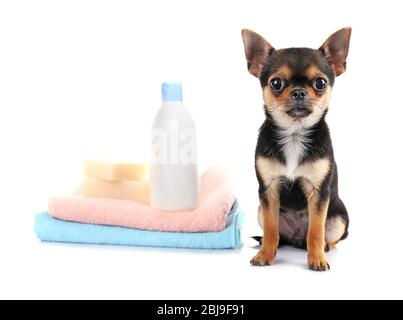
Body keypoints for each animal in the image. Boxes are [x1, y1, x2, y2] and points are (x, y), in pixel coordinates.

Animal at [241, 28, 352, 272]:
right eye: (276, 83)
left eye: (320, 83)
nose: (299, 92)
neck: (294, 134)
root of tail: (295, 238)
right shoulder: (268, 192)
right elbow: (271, 229)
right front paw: (265, 255)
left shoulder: (319, 193)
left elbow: (316, 231)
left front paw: (317, 258)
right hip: (260, 212)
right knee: (278, 235)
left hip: (340, 219)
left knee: (325, 237)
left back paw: (324, 247)